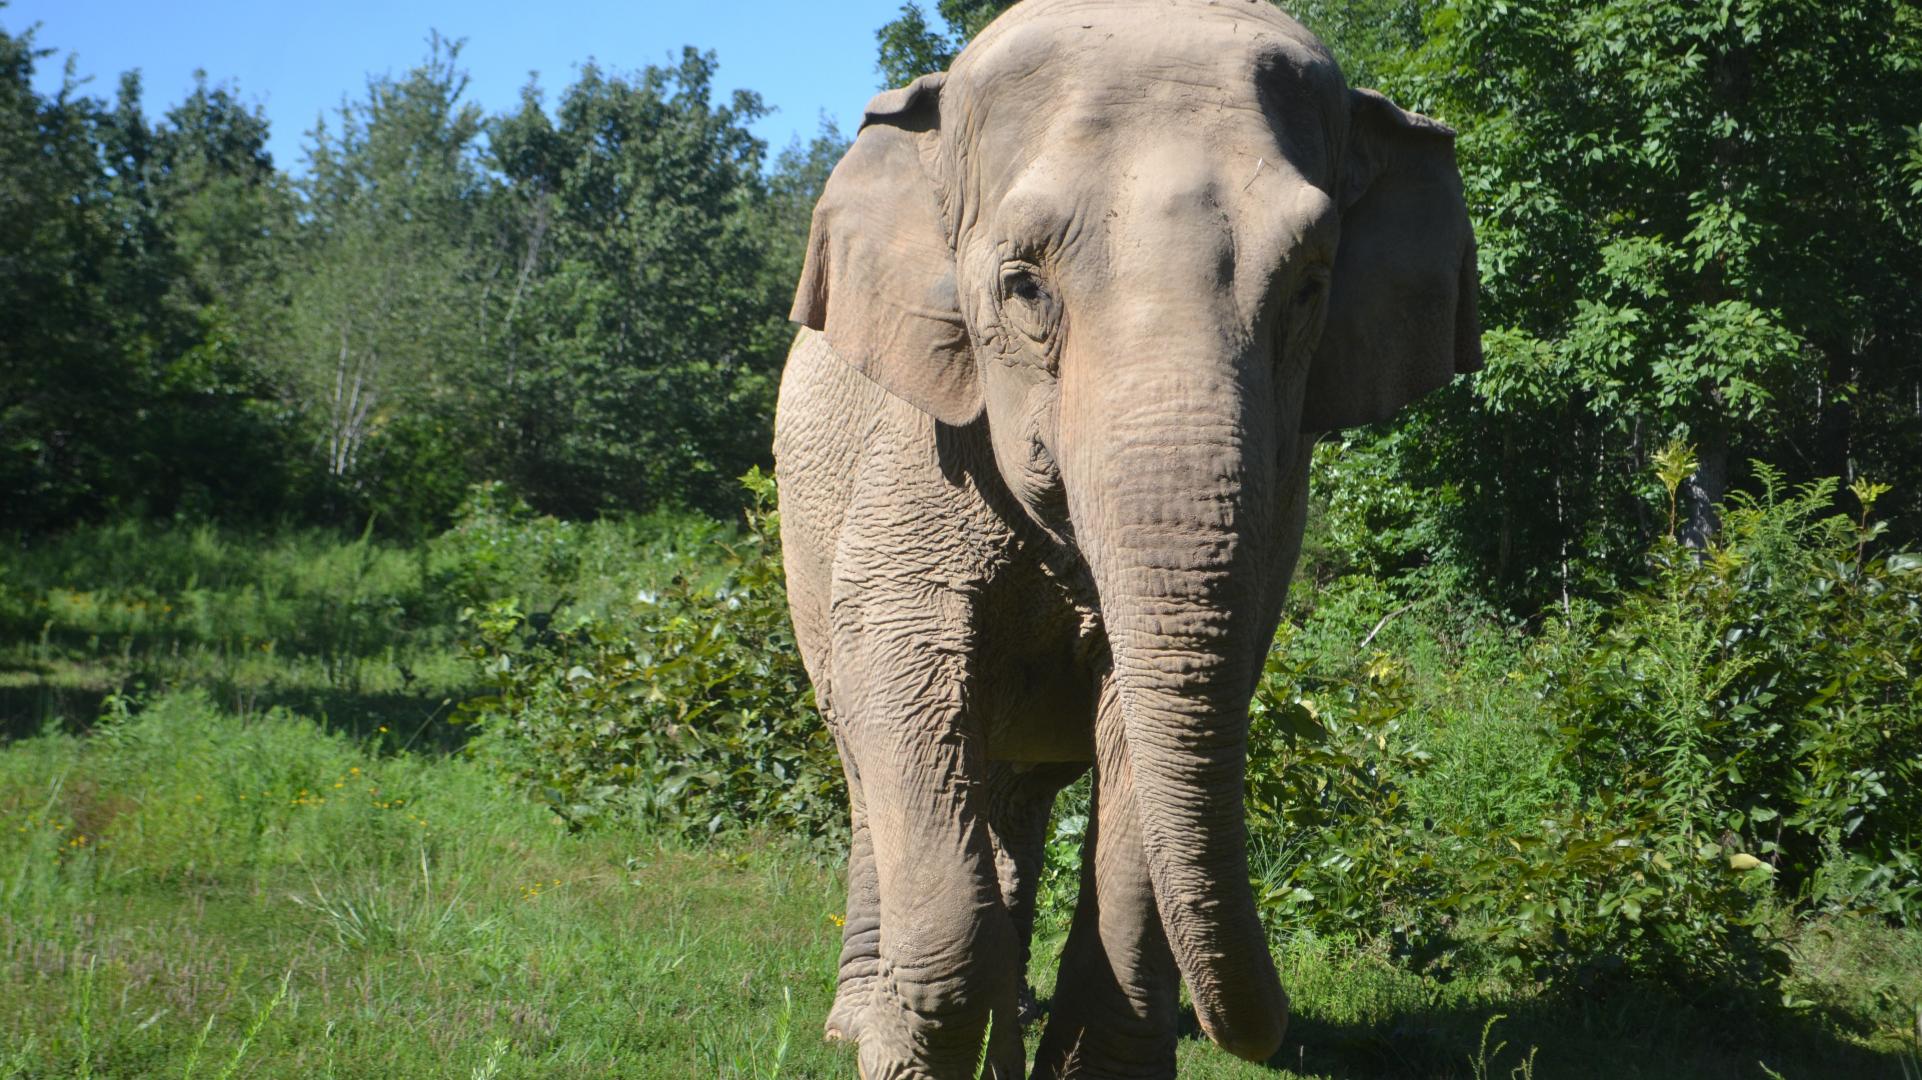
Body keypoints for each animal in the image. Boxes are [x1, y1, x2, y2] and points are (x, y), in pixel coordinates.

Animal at [772, 0, 1479, 1075]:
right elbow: (899, 662)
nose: (1277, 1026)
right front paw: (909, 1053)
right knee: (872, 766)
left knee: (1011, 789)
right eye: (1022, 287)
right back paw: (863, 1018)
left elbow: (1149, 729)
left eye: (1310, 287)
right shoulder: (919, 439)